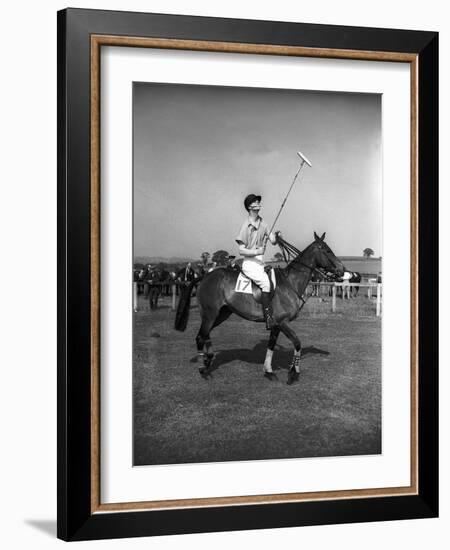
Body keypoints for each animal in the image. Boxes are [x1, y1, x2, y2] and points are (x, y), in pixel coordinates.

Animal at [174, 232, 342, 384]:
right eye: (327, 250)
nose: (342, 269)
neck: (290, 283)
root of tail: (204, 276)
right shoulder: (282, 322)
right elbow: (297, 343)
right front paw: (293, 373)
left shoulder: (276, 325)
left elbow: (271, 346)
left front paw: (269, 371)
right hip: (210, 314)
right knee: (200, 336)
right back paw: (203, 368)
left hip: (222, 314)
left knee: (206, 334)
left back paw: (208, 359)